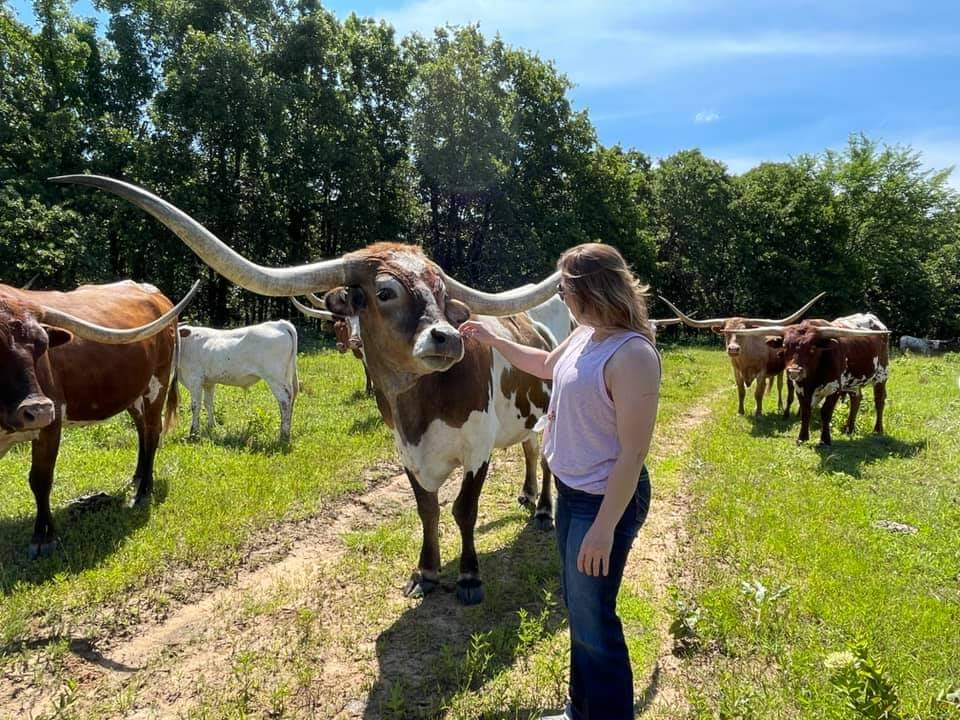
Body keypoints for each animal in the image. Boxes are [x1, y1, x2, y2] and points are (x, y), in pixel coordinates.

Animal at [0, 278, 199, 556]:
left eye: (42, 346)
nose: (39, 409)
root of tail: (153, 292)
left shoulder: (50, 426)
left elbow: (40, 479)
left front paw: (43, 536)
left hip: (156, 384)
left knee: (152, 432)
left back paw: (143, 491)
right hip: (132, 391)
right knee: (142, 430)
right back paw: (137, 477)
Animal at [58, 176, 564, 608]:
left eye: (441, 292)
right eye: (384, 292)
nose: (449, 338)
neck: (418, 406)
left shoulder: (476, 449)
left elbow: (464, 509)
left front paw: (469, 577)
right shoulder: (408, 452)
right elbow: (427, 510)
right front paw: (425, 573)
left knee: (542, 457)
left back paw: (542, 509)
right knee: (528, 450)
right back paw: (527, 496)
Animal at [660, 292, 824, 416]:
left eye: (744, 332)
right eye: (725, 332)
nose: (733, 349)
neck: (746, 359)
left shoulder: (761, 372)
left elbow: (758, 393)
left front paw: (758, 413)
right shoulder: (736, 371)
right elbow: (741, 391)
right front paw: (740, 412)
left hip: (782, 371)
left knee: (779, 386)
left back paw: (779, 406)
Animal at [736, 320, 892, 444]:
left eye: (812, 348)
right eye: (785, 346)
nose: (794, 371)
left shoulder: (834, 389)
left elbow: (826, 412)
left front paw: (825, 439)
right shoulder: (800, 388)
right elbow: (805, 411)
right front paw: (802, 437)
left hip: (881, 375)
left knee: (879, 401)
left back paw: (878, 429)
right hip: (853, 382)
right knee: (856, 399)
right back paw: (849, 428)